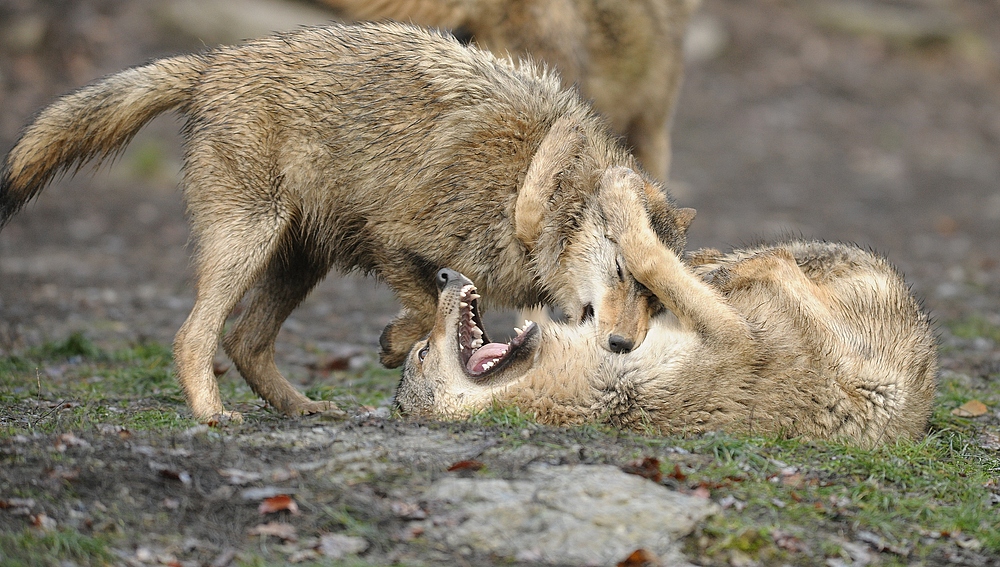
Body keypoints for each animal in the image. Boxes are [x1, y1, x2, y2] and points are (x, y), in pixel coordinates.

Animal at [0, 22, 692, 422]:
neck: (534, 185)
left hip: (299, 262)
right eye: (624, 274)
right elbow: (424, 304)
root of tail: (209, 63)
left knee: (243, 340)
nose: (622, 346)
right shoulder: (392, 236)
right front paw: (393, 344)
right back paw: (213, 416)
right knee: (194, 335)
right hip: (249, 243)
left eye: (656, 299)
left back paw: (306, 409)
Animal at [396, 166, 936, 446]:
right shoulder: (735, 338)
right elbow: (650, 258)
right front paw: (620, 192)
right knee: (774, 261)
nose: (444, 275)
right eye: (422, 353)